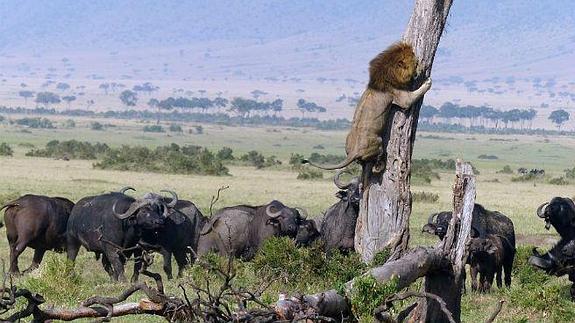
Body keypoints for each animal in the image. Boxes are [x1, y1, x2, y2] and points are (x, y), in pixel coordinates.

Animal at [302, 43, 432, 175]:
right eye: (414, 61)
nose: (419, 62)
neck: (388, 73)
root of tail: (353, 151)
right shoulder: (401, 97)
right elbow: (415, 94)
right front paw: (427, 81)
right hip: (378, 142)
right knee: (377, 159)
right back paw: (381, 166)